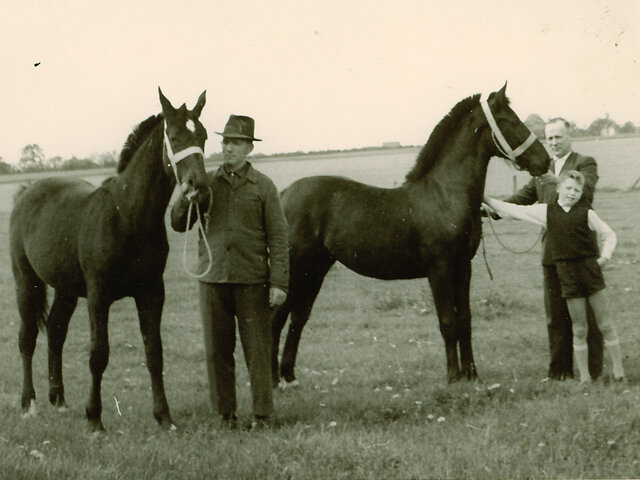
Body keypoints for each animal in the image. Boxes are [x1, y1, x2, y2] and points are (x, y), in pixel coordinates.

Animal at [10, 88, 210, 432]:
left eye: (205, 136)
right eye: (173, 136)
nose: (198, 187)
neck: (126, 215)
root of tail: (25, 192)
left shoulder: (152, 293)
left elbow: (154, 352)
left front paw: (164, 417)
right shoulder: (98, 296)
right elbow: (98, 354)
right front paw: (94, 420)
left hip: (65, 289)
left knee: (56, 332)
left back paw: (59, 401)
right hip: (27, 282)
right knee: (28, 338)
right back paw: (29, 404)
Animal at [271, 84, 550, 387]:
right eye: (509, 120)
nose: (545, 161)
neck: (444, 194)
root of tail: (283, 194)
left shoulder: (463, 268)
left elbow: (464, 319)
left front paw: (472, 375)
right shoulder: (439, 269)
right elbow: (447, 321)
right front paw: (454, 377)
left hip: (315, 270)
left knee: (297, 317)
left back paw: (289, 376)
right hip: (297, 269)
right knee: (277, 318)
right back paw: (273, 380)